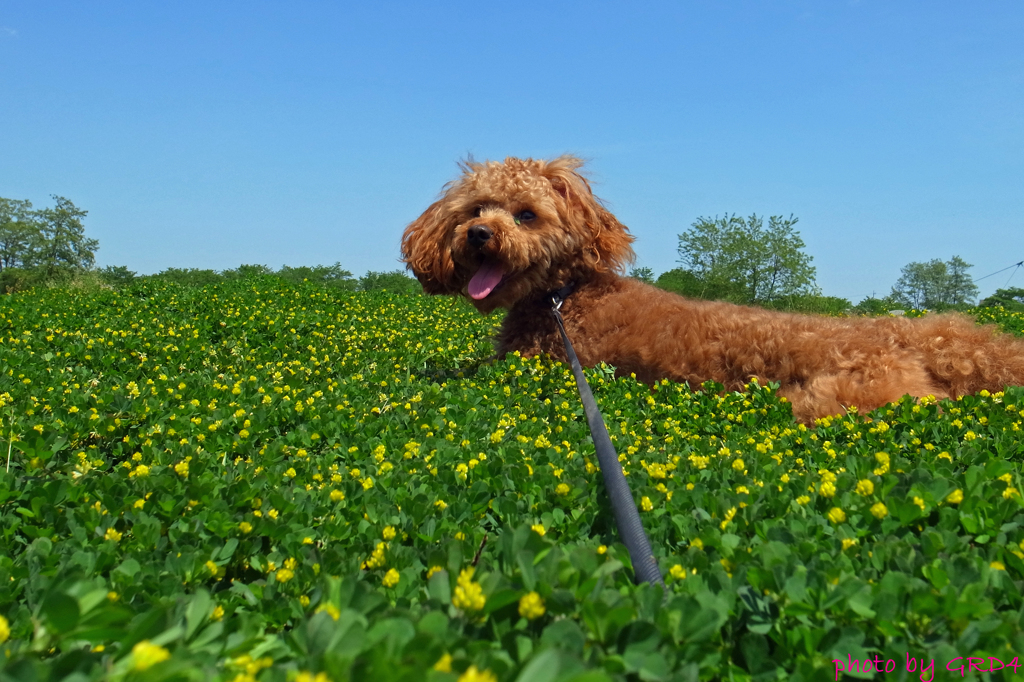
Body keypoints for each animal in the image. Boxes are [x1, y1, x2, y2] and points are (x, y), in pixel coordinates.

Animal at [403, 155, 1024, 419]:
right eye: (474, 210)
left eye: (527, 215)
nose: (479, 235)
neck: (564, 295)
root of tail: (910, 338)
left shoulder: (533, 369)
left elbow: (465, 372)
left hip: (835, 396)